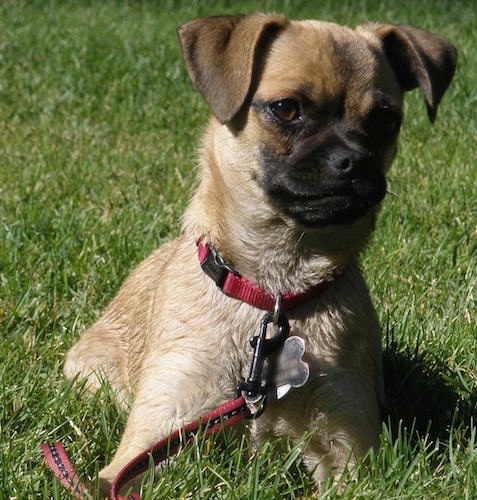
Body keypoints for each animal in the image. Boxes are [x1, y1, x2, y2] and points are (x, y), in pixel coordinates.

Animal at [62, 12, 454, 492]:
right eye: (286, 109)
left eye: (385, 120)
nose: (354, 161)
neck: (274, 292)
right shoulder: (149, 442)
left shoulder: (351, 450)